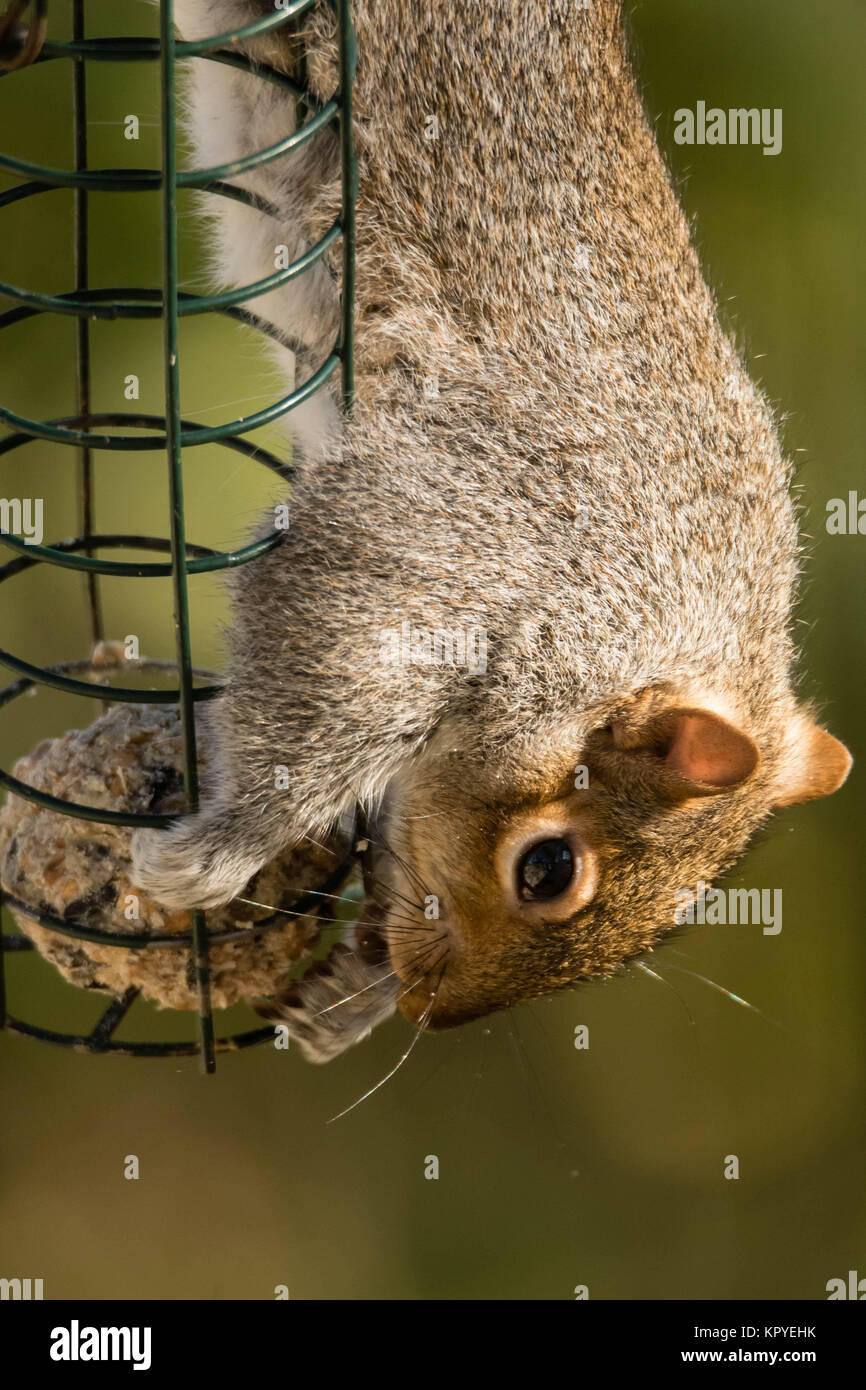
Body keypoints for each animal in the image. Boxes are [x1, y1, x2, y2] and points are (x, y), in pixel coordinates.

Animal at [132, 2, 850, 1045]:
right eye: (547, 870)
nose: (428, 1013)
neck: (658, 605)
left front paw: (348, 1000)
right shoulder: (444, 542)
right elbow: (320, 689)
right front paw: (212, 859)